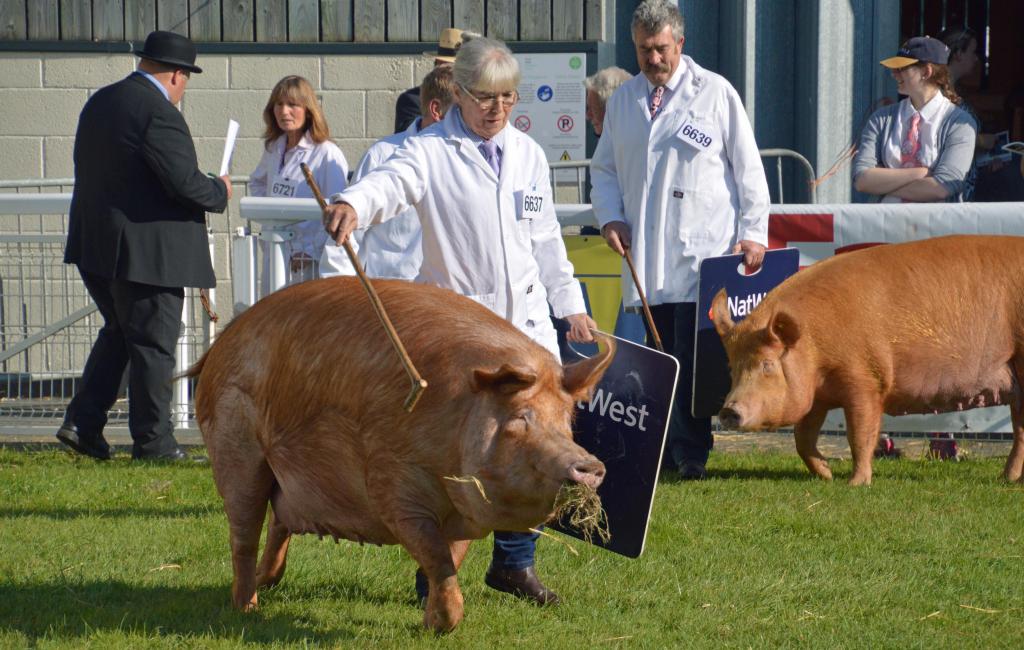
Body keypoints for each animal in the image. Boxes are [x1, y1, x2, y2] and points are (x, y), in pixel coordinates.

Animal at [188, 276, 610, 634]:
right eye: (521, 418)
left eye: (567, 419)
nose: (590, 465)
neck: (454, 423)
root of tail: (221, 342)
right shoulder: (392, 482)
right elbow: (436, 555)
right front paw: (442, 625)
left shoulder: (463, 508)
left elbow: (450, 559)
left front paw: (428, 619)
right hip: (236, 450)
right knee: (243, 533)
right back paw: (247, 609)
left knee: (279, 521)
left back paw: (267, 584)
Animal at [712, 236, 1024, 485]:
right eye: (731, 367)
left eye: (767, 365)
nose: (728, 411)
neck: (815, 346)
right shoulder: (817, 395)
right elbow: (802, 437)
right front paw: (826, 475)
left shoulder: (866, 381)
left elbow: (860, 435)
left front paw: (855, 484)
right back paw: (1006, 479)